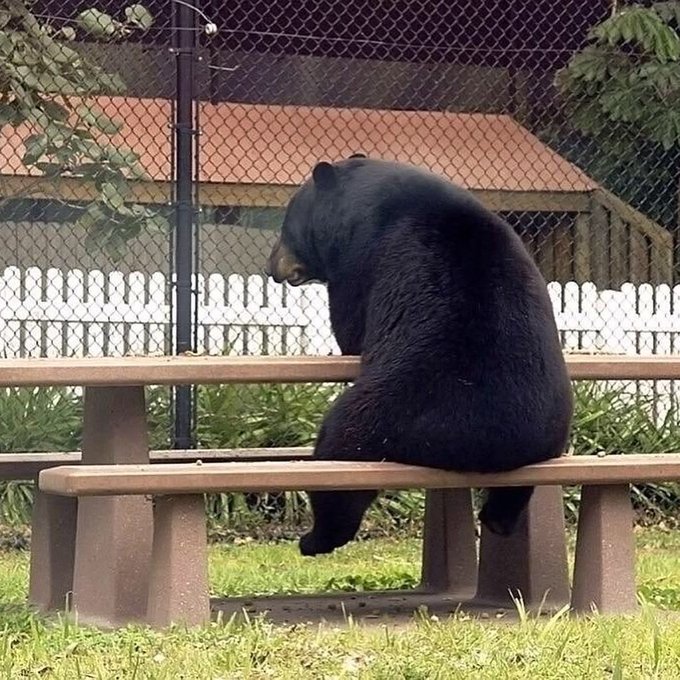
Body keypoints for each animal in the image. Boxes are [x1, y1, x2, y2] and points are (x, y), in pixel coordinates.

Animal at [265, 156, 573, 557]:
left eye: (287, 225)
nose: (272, 265)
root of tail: (478, 446)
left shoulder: (362, 258)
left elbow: (351, 325)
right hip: (544, 438)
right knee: (513, 494)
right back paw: (497, 520)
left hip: (387, 409)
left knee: (341, 455)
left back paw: (315, 538)